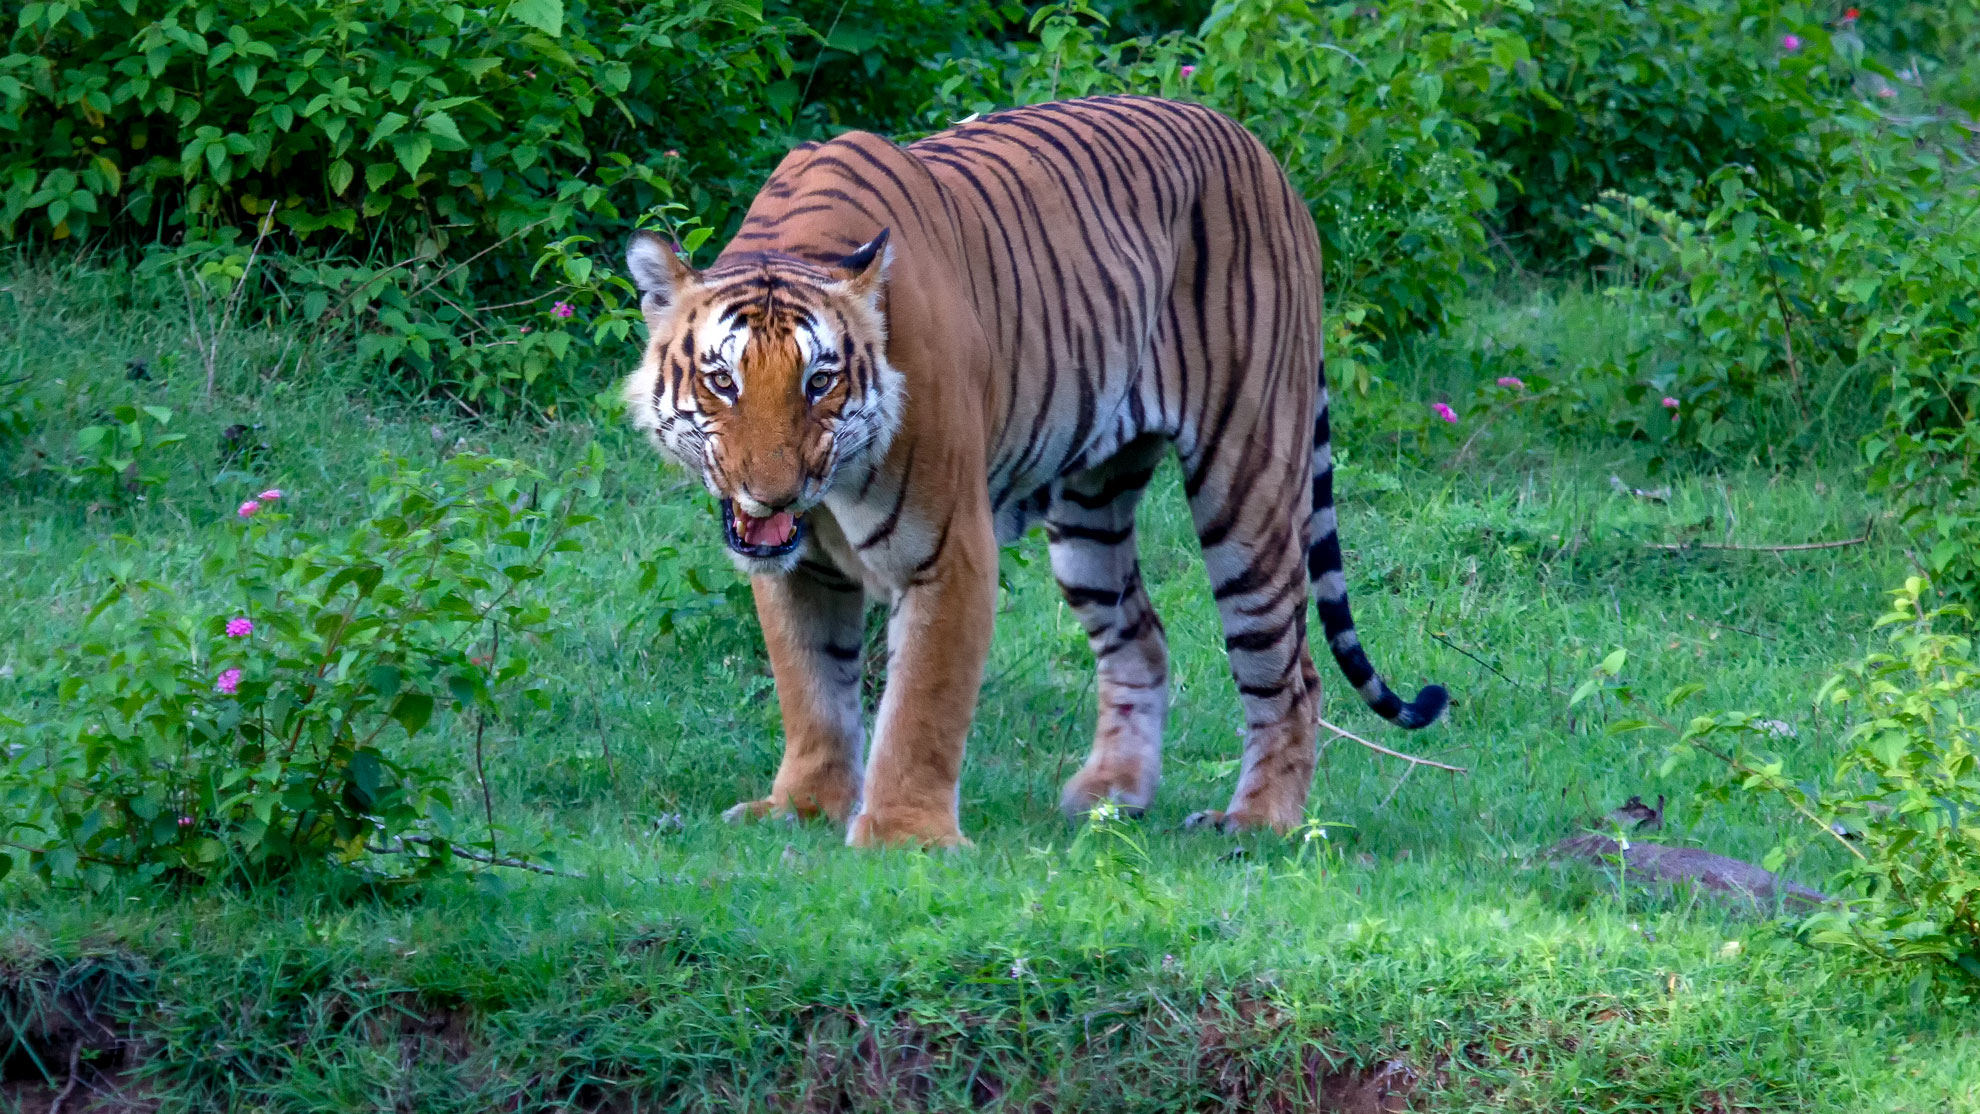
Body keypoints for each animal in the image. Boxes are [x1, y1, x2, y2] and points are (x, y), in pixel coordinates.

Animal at [621, 94, 1447, 848]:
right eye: (723, 381)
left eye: (819, 382)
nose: (774, 494)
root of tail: (1263, 156)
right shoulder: (798, 569)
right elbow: (812, 688)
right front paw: (804, 807)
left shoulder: (949, 549)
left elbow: (922, 701)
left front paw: (904, 837)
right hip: (1091, 512)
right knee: (1141, 636)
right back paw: (1110, 796)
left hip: (1247, 478)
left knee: (1290, 670)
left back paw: (1257, 821)